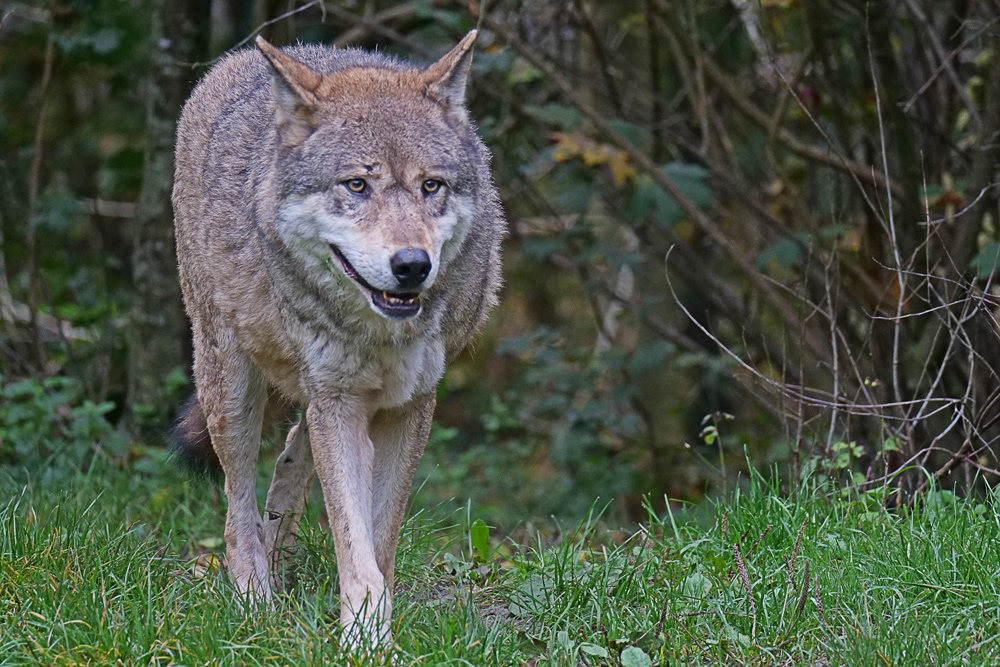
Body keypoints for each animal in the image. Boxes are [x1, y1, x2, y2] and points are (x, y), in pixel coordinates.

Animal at [170, 31, 508, 648]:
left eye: (431, 186)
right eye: (357, 185)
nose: (411, 266)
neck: (379, 334)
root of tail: (233, 62)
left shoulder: (410, 405)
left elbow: (379, 535)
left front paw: (374, 628)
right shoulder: (339, 399)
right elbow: (353, 539)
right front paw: (366, 638)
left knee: (294, 453)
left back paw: (280, 548)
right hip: (230, 385)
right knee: (237, 503)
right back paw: (255, 598)